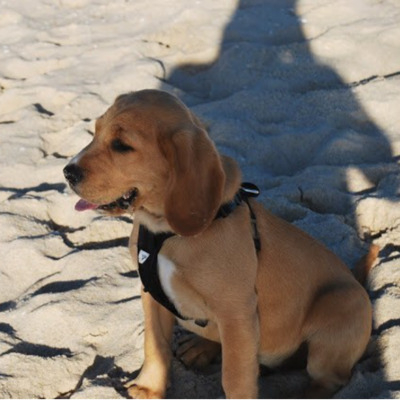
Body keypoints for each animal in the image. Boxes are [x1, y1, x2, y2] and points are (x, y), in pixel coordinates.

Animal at [64, 89, 374, 398]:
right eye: (95, 132)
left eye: (121, 146)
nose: (67, 172)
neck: (166, 233)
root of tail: (354, 278)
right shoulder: (151, 294)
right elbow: (155, 345)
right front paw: (148, 386)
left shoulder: (236, 313)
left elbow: (235, 377)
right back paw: (201, 347)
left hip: (338, 309)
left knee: (329, 379)